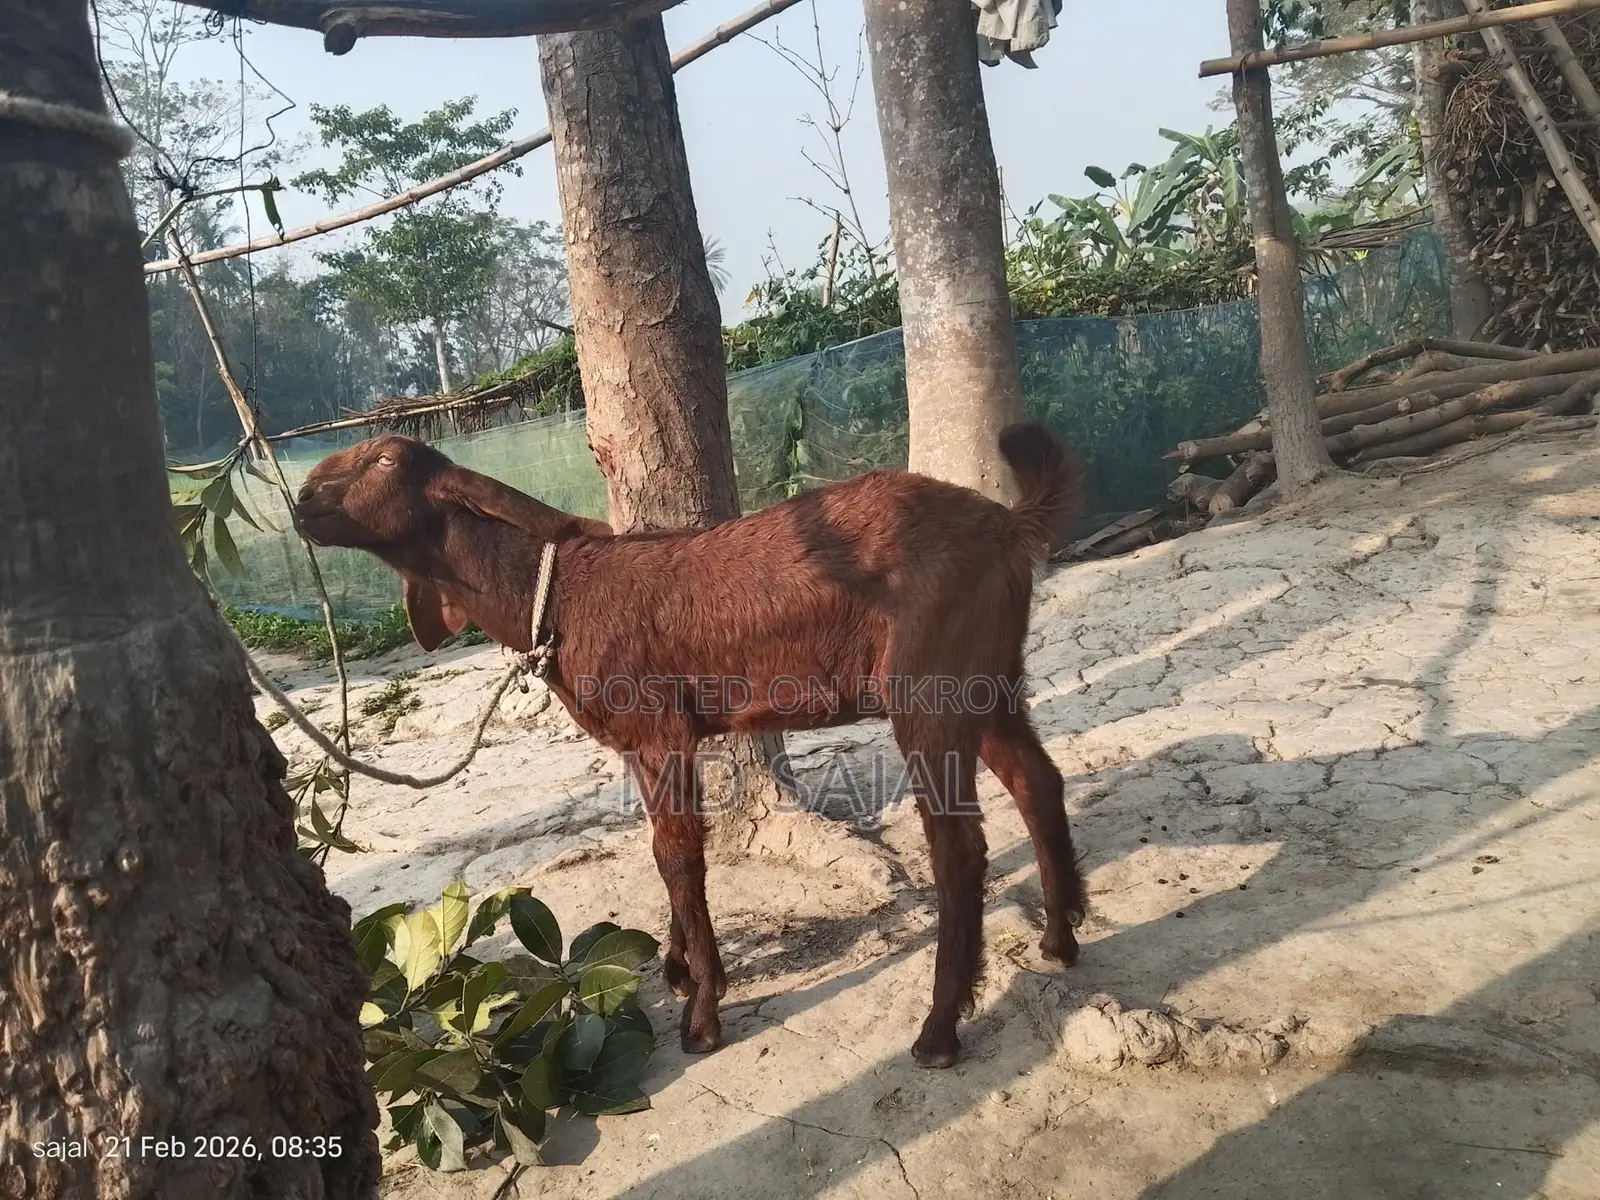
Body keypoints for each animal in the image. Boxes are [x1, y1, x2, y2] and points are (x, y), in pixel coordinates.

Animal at [294, 423, 1089, 1067]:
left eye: (387, 457)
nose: (302, 501)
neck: (557, 596)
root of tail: (1007, 524)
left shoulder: (658, 729)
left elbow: (678, 855)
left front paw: (702, 1012)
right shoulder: (637, 743)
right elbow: (663, 847)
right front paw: (680, 968)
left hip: (929, 686)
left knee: (960, 846)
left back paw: (939, 1029)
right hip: (990, 679)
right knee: (1037, 782)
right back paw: (1060, 939)